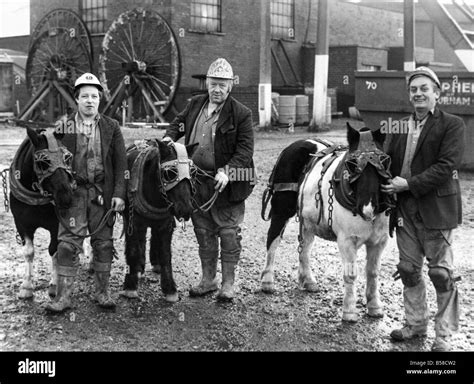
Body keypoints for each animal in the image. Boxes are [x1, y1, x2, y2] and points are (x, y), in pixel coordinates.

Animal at [9, 127, 76, 298]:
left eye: (67, 157)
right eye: (42, 163)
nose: (66, 198)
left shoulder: (56, 225)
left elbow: (54, 250)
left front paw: (54, 284)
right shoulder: (22, 224)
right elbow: (28, 252)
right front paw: (26, 286)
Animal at [121, 139, 197, 304]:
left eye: (192, 172)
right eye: (169, 173)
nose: (186, 209)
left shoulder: (165, 225)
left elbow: (166, 254)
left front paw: (170, 289)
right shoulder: (133, 222)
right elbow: (133, 250)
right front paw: (130, 286)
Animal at [260, 123, 392, 320]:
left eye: (383, 162)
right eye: (351, 165)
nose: (368, 208)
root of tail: (294, 145)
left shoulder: (379, 241)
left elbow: (373, 272)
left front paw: (374, 306)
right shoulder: (347, 240)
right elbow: (351, 274)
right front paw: (349, 311)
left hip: (308, 221)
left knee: (305, 247)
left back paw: (308, 280)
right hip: (281, 211)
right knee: (273, 240)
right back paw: (268, 280)